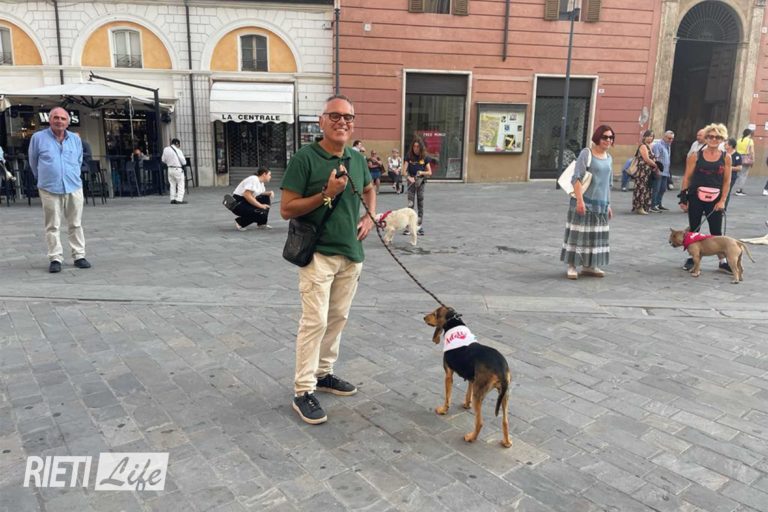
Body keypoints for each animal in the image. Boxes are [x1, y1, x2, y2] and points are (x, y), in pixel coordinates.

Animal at [423, 306, 512, 448]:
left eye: (435, 313)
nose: (424, 318)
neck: (454, 324)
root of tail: (501, 369)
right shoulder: (472, 379)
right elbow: (467, 393)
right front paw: (466, 404)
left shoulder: (448, 375)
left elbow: (447, 397)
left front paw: (443, 410)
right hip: (504, 395)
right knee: (505, 421)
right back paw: (507, 442)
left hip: (479, 394)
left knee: (479, 422)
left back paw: (471, 437)